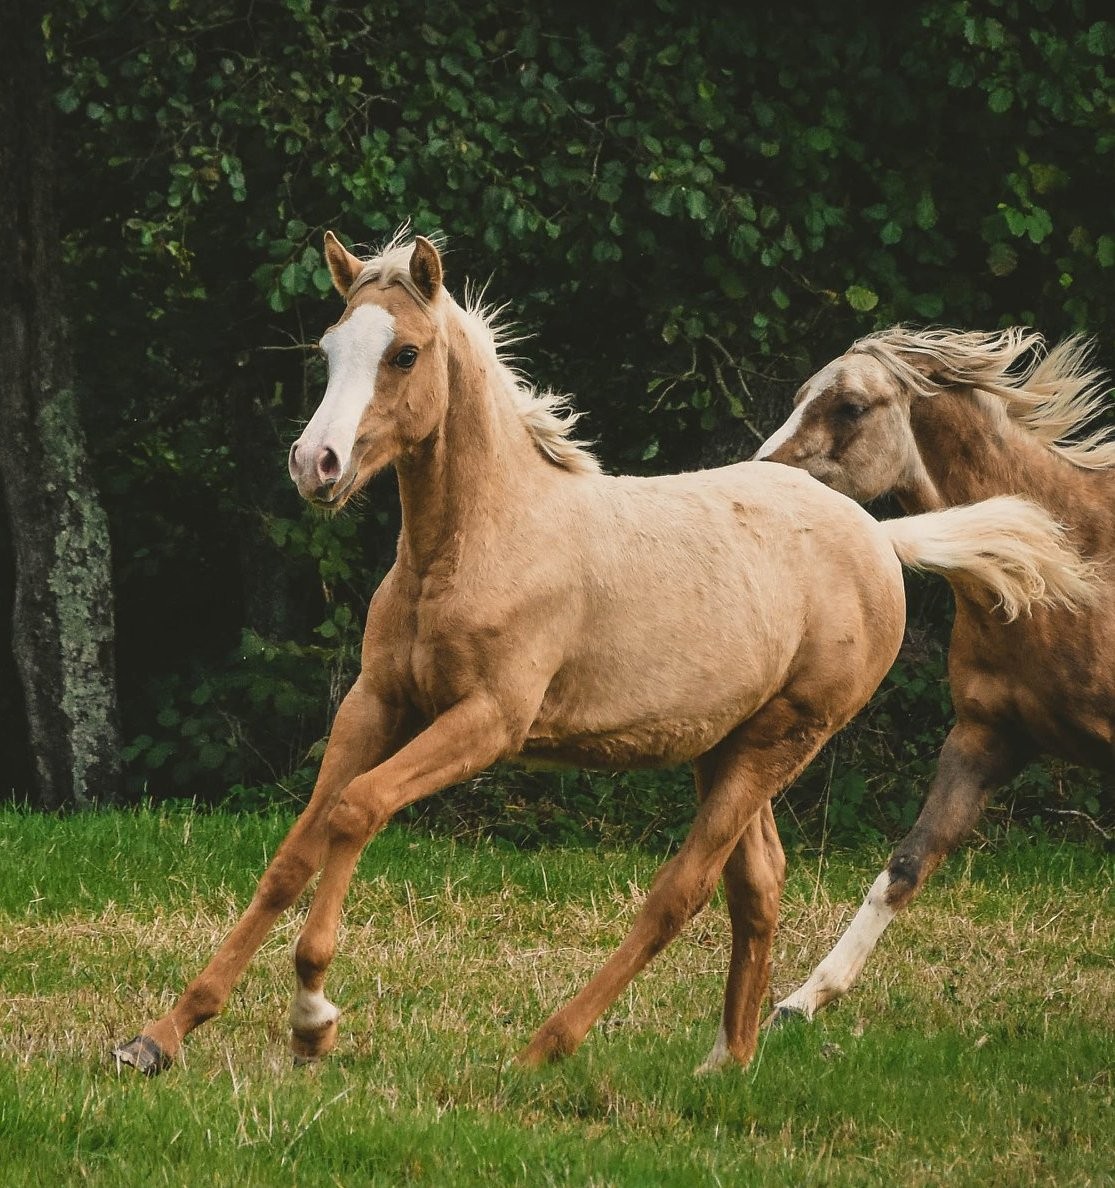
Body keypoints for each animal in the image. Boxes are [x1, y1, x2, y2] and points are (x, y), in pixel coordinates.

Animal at [755, 325, 1111, 1021]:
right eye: (800, 397)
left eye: (851, 407)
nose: (761, 479)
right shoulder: (983, 739)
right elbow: (905, 866)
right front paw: (804, 1000)